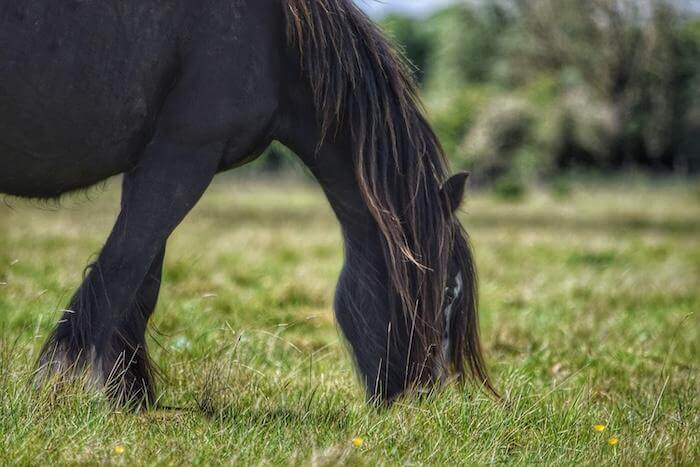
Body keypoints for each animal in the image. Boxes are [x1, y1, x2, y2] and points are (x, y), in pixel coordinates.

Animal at [0, 0, 492, 406]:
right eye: (448, 292)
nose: (421, 398)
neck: (278, 42)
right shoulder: (185, 155)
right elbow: (120, 271)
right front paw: (57, 388)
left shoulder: (156, 160)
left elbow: (142, 279)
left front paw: (128, 395)